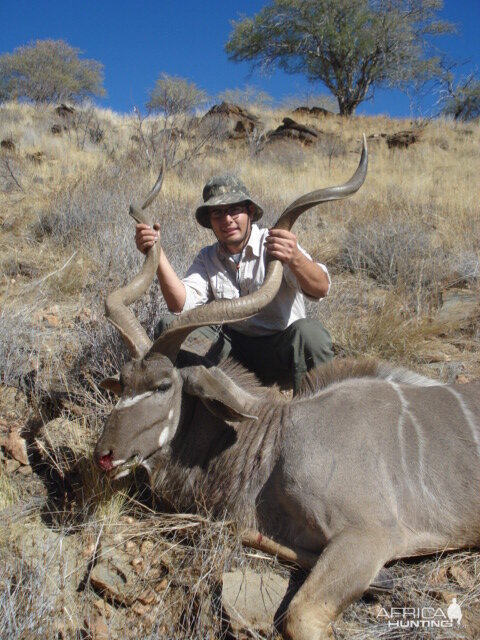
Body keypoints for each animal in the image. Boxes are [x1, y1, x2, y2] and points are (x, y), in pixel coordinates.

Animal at [94, 141, 480, 640]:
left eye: (163, 386)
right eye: (122, 381)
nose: (105, 456)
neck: (273, 440)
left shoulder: (370, 533)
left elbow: (300, 614)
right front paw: (385, 581)